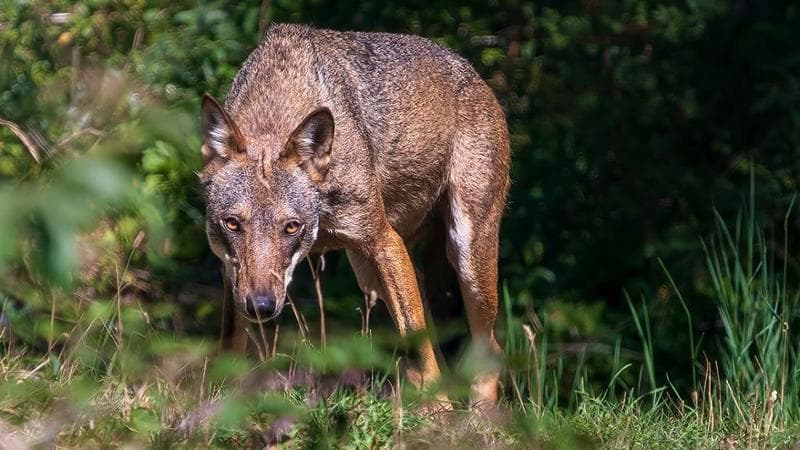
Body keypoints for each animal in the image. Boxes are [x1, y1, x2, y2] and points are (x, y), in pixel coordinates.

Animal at [200, 23, 510, 406]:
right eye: (232, 224)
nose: (262, 306)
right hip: (371, 272)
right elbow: (229, 348)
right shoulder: (231, 271)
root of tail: (474, 73)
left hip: (466, 258)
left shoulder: (383, 240)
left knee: (487, 350)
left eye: (291, 227)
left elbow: (419, 342)